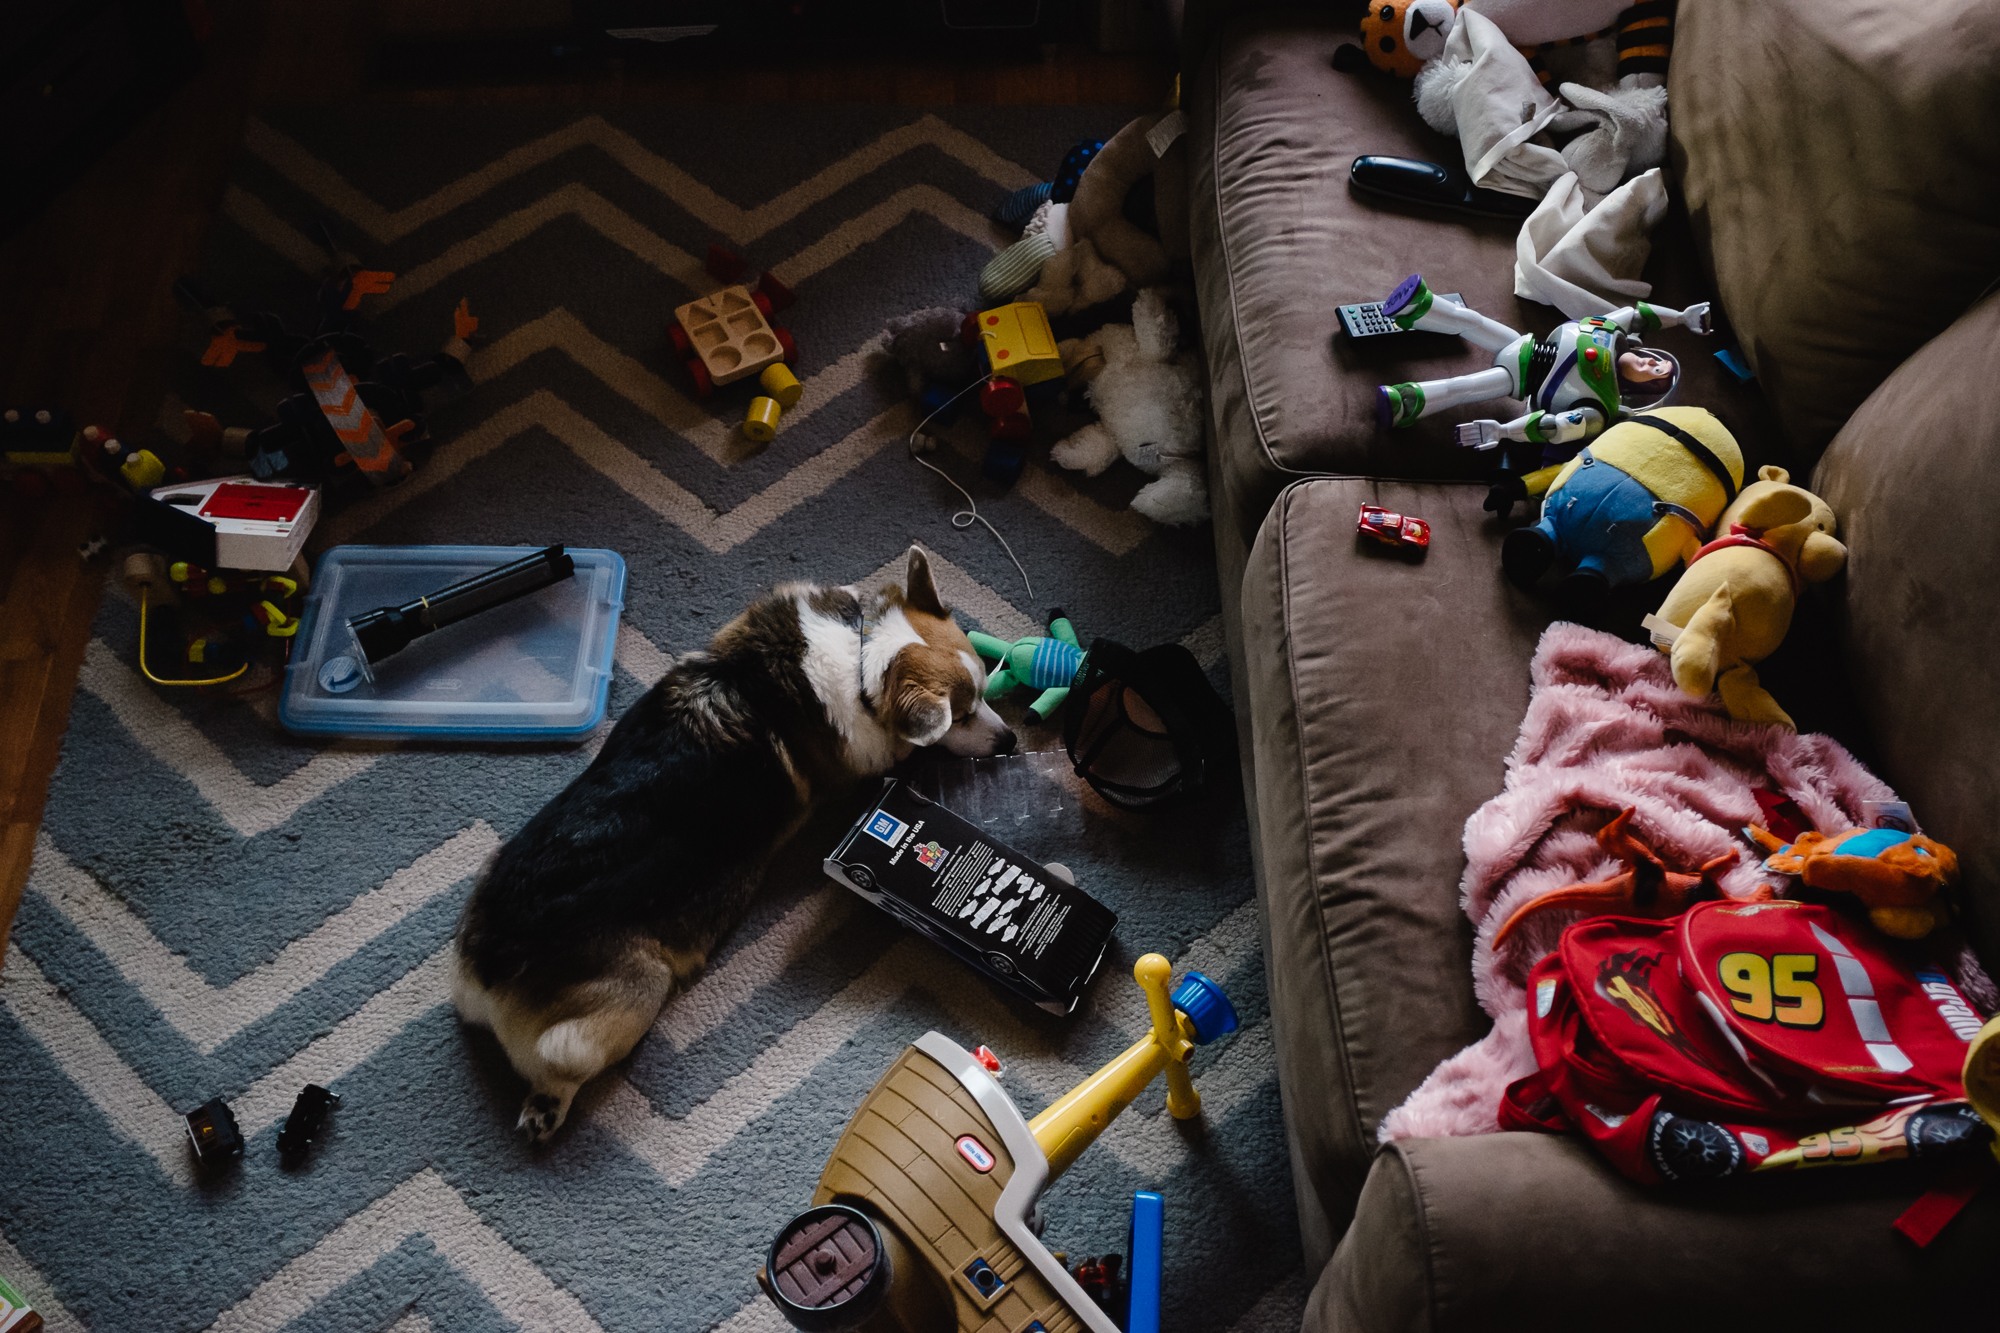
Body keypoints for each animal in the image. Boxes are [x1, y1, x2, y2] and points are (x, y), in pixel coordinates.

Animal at [454, 544, 1016, 1136]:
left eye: (984, 693)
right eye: (961, 715)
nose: (1010, 740)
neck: (863, 659)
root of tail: (487, 967)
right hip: (633, 994)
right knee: (563, 1062)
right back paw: (547, 1109)